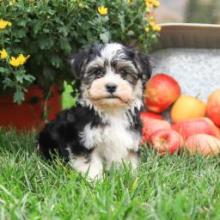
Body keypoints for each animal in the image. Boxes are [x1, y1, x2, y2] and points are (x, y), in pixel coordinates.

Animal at [37, 42, 151, 180]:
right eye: (98, 72)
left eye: (123, 72)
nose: (111, 86)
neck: (111, 110)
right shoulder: (84, 142)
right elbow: (90, 164)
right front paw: (94, 181)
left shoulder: (130, 140)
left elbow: (129, 163)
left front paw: (130, 178)